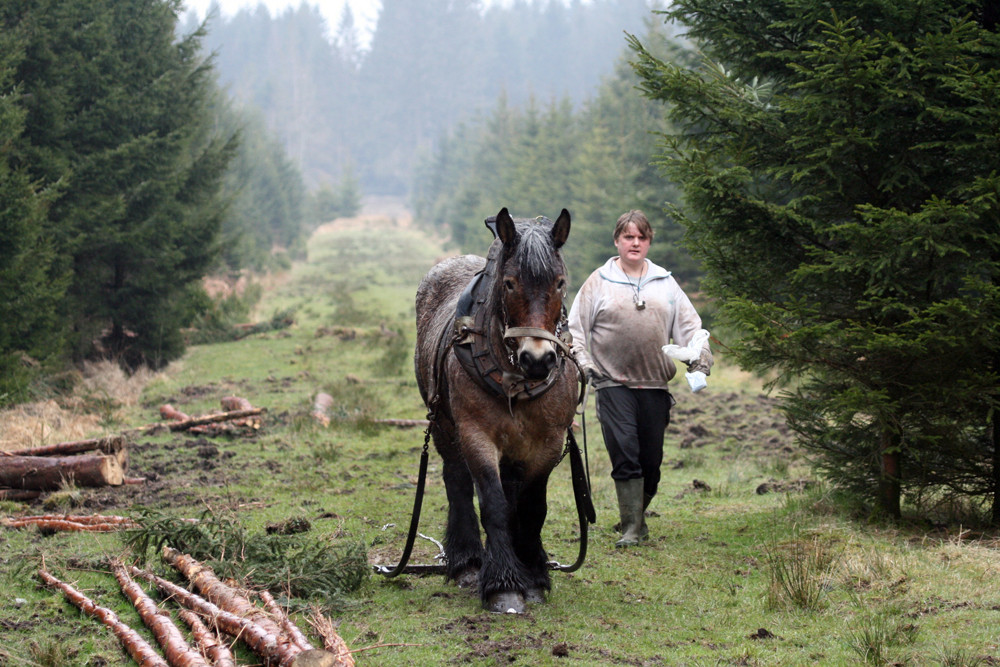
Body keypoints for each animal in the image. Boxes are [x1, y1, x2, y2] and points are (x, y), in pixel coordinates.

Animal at [414, 206, 584, 612]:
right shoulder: (476, 435)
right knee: (458, 482)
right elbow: (493, 503)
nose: (537, 359)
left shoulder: (548, 441)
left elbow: (531, 507)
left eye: (559, 282)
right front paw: (504, 584)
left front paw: (534, 575)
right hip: (445, 428)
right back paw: (468, 562)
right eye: (508, 283)